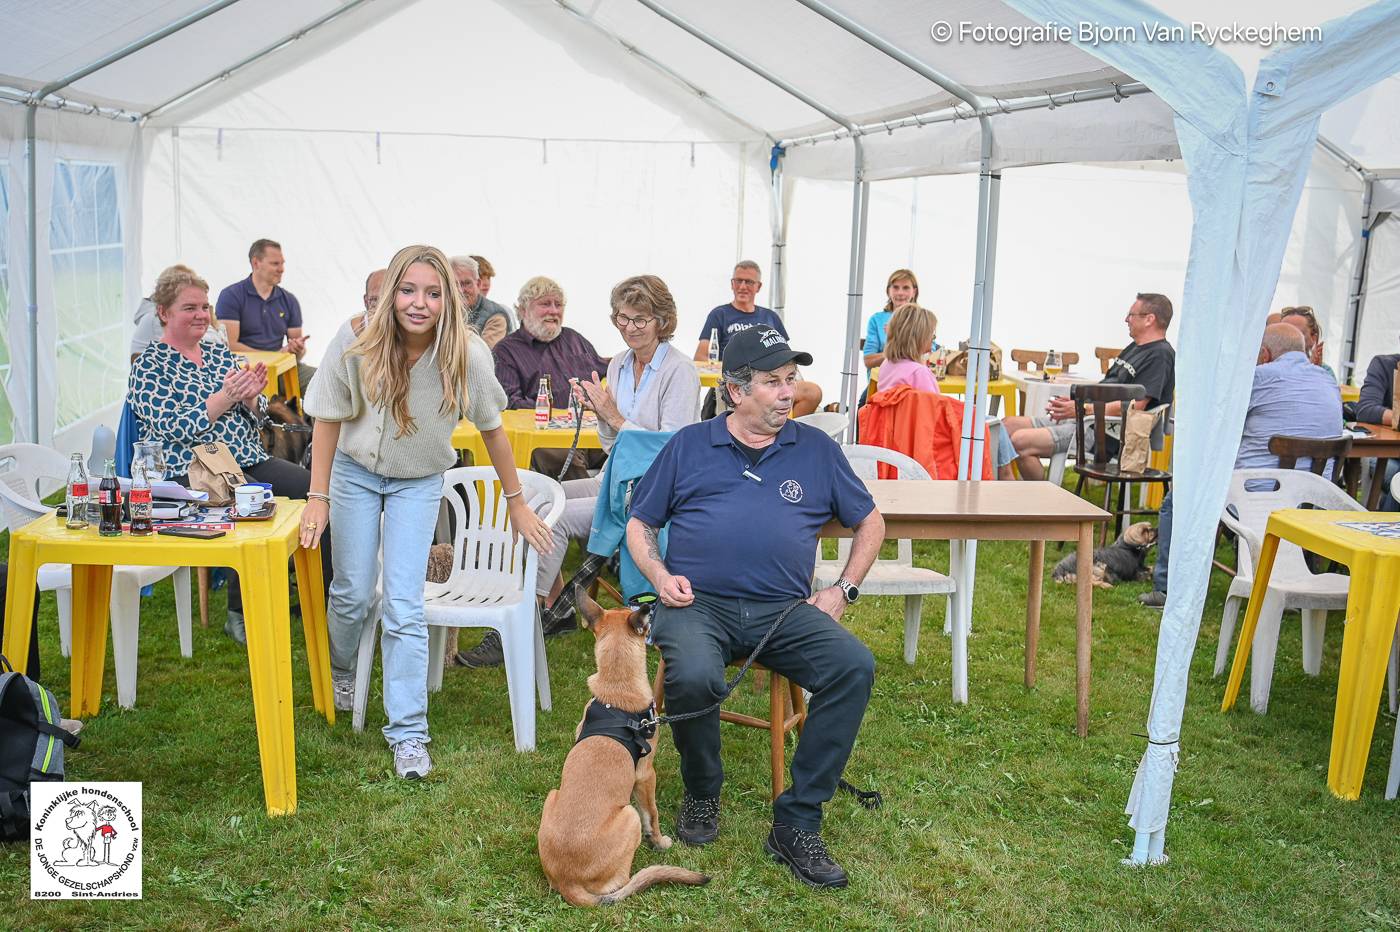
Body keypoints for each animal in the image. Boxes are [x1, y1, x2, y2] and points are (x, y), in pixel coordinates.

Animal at [537, 587, 711, 901]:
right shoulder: (645, 775)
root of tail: (569, 883)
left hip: (552, 795)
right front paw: (659, 842)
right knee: (621, 881)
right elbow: (652, 814)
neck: (616, 691)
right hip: (628, 816)